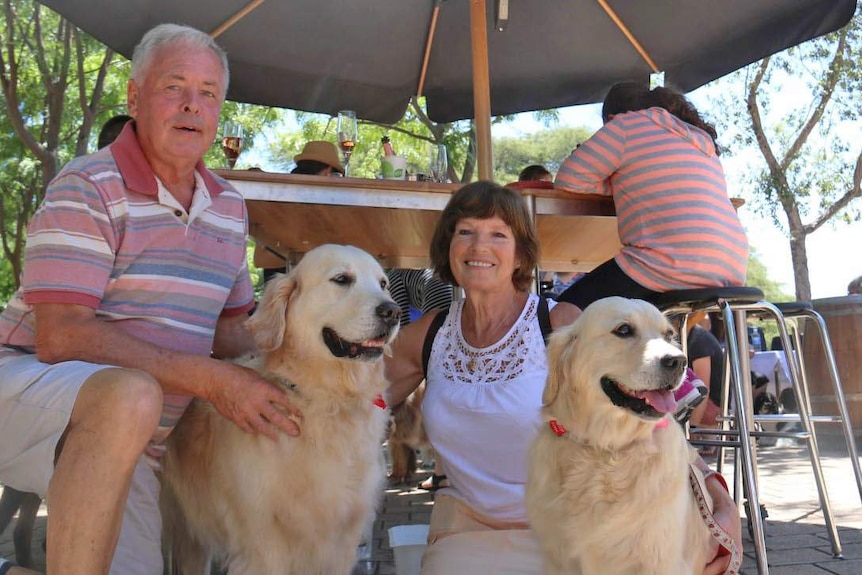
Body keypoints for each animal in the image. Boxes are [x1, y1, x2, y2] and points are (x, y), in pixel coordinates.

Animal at [161, 244, 402, 575]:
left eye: (383, 284)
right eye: (342, 279)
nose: (393, 312)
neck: (328, 401)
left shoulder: (340, 542)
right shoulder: (264, 547)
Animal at [528, 296, 716, 575]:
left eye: (669, 335)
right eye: (624, 330)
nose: (678, 361)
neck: (607, 448)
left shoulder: (661, 561)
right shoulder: (558, 559)